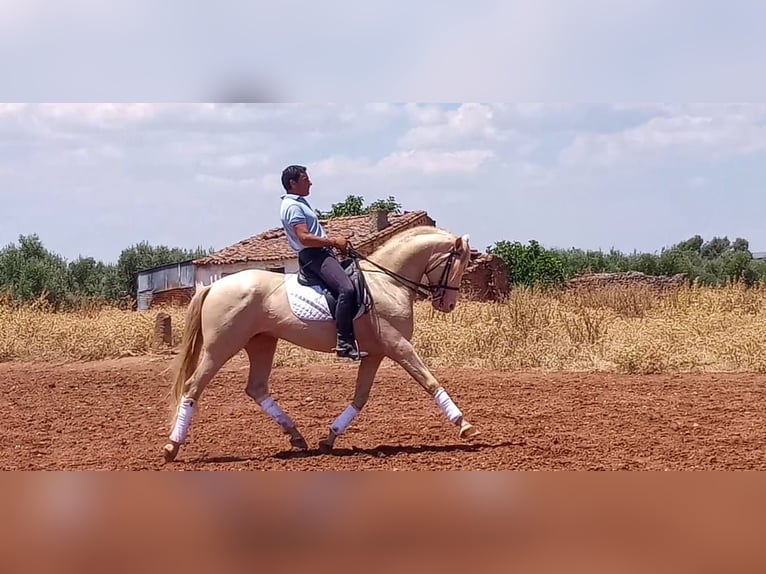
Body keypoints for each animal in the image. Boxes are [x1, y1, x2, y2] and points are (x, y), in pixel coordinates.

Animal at [162, 224, 481, 463]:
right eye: (458, 263)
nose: (448, 305)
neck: (387, 284)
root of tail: (214, 286)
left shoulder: (375, 353)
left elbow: (360, 397)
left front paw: (329, 438)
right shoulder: (399, 346)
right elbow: (430, 381)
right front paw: (466, 427)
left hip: (261, 343)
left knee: (256, 388)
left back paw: (297, 436)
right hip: (221, 347)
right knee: (193, 387)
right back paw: (171, 447)